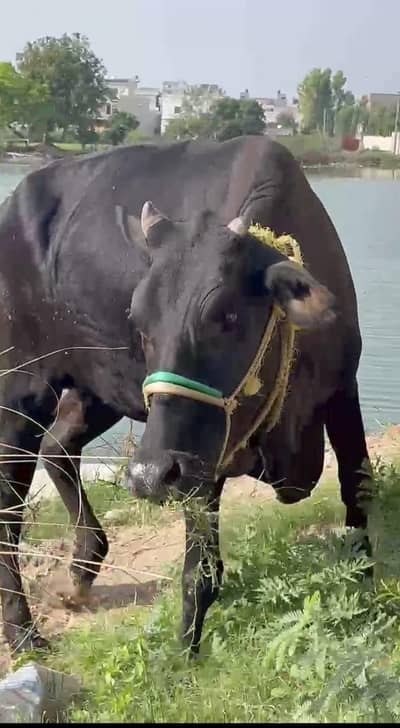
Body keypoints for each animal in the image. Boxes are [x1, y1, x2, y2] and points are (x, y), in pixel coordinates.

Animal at [0, 135, 372, 657]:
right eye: (139, 322)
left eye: (228, 316)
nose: (149, 476)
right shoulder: (198, 460)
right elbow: (200, 571)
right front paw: (183, 655)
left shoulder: (343, 390)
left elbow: (359, 489)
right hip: (21, 387)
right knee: (9, 508)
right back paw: (24, 633)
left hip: (99, 393)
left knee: (58, 446)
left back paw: (81, 572)